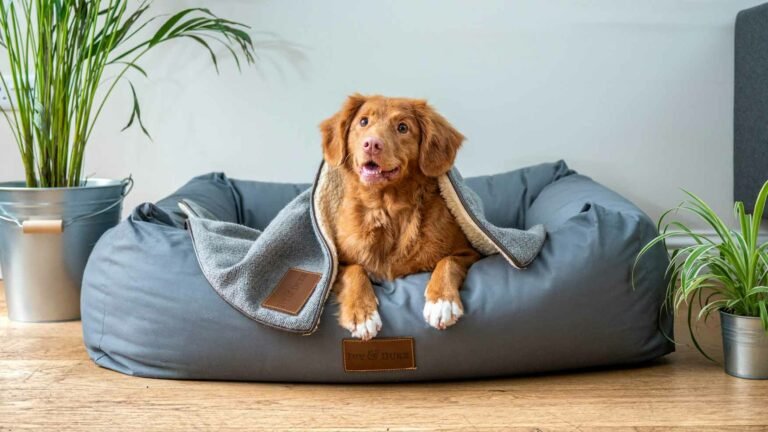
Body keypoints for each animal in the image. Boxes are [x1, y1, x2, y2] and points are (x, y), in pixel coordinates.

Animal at [320, 94, 480, 340]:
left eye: (403, 127)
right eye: (364, 122)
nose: (371, 144)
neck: (387, 208)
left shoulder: (469, 252)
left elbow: (448, 261)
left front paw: (442, 302)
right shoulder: (337, 263)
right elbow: (355, 270)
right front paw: (362, 313)